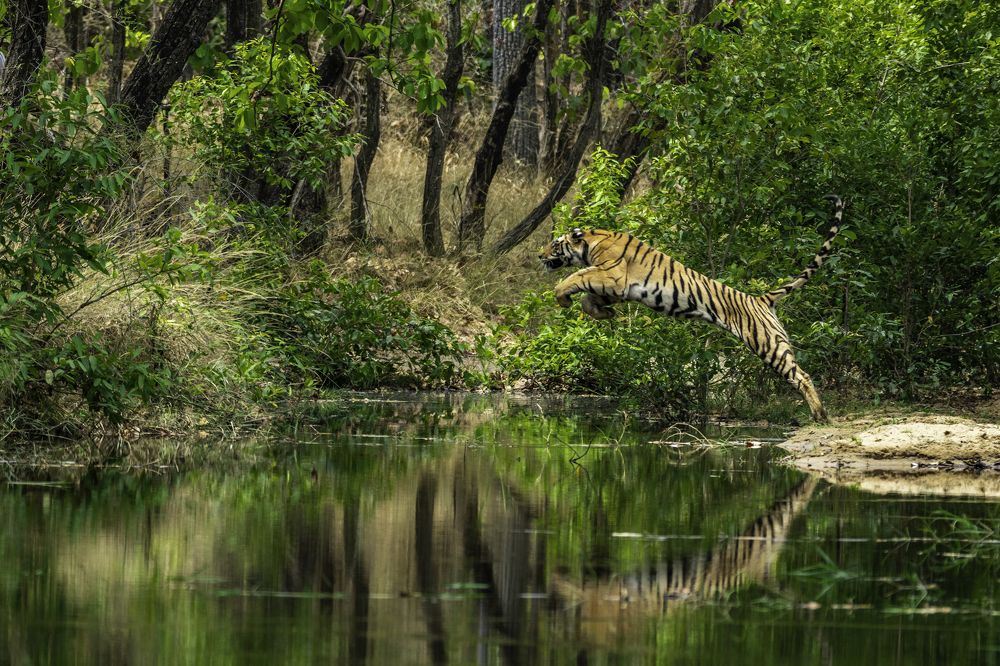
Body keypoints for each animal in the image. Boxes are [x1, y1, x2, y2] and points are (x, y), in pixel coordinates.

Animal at [538, 195, 845, 422]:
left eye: (554, 244)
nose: (540, 255)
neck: (591, 242)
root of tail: (761, 299)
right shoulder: (616, 287)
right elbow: (588, 298)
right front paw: (604, 313)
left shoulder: (612, 276)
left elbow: (575, 278)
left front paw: (562, 297)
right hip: (775, 341)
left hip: (767, 343)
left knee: (802, 376)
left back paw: (820, 416)